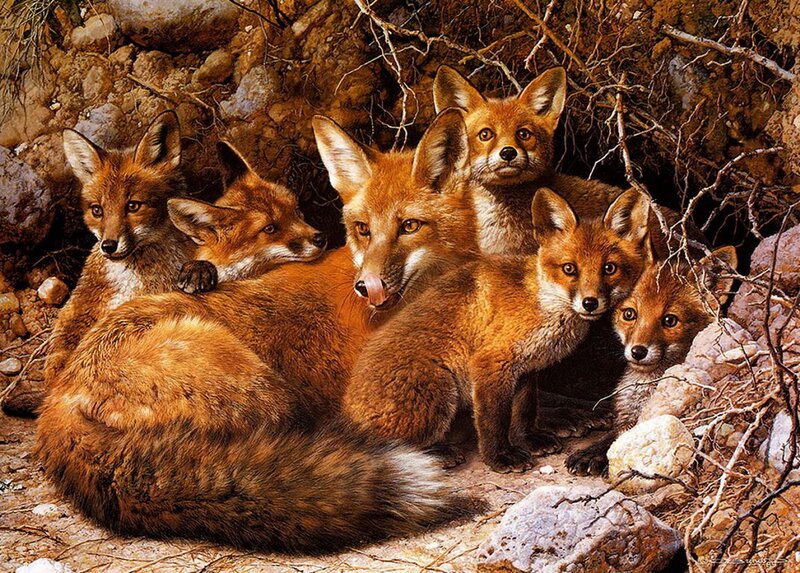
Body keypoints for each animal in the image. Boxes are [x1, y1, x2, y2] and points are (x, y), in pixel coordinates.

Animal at [35, 108, 480, 550]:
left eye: (410, 226)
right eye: (362, 229)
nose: (368, 286)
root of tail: (57, 401)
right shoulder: (368, 400)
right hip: (265, 391)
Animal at [343, 187, 650, 473]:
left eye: (609, 268)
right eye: (569, 269)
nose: (590, 303)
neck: (539, 302)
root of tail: (344, 410)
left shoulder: (525, 369)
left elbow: (524, 411)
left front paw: (530, 439)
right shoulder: (491, 363)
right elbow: (494, 420)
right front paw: (499, 457)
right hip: (439, 393)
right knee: (390, 448)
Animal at [565, 244, 738, 476]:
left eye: (670, 320)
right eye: (629, 314)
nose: (638, 351)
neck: (646, 387)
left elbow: (622, 440)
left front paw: (596, 456)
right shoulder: (626, 417)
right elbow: (613, 435)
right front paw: (592, 450)